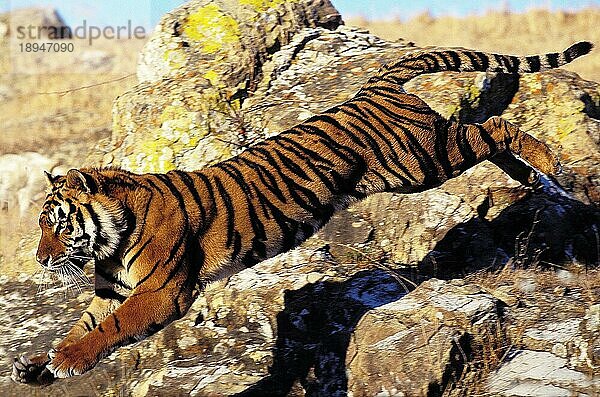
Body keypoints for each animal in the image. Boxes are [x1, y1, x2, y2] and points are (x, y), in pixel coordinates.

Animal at [11, 39, 592, 380]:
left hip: (423, 159)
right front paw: (36, 362)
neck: (110, 238)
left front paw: (68, 361)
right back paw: (535, 178)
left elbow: (110, 328)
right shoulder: (111, 290)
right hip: (418, 163)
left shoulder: (161, 291)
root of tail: (375, 85)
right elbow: (81, 323)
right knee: (489, 136)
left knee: (494, 127)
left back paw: (550, 165)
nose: (40, 259)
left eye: (56, 225)